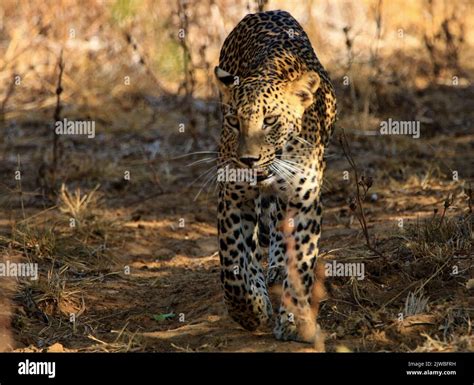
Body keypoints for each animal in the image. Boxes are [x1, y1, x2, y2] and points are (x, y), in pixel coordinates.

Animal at [213, 9, 336, 340]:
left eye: (270, 121)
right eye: (233, 121)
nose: (248, 160)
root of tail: (266, 11)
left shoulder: (305, 201)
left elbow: (302, 263)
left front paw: (293, 319)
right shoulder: (233, 198)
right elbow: (233, 262)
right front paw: (250, 311)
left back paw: (278, 266)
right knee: (253, 243)